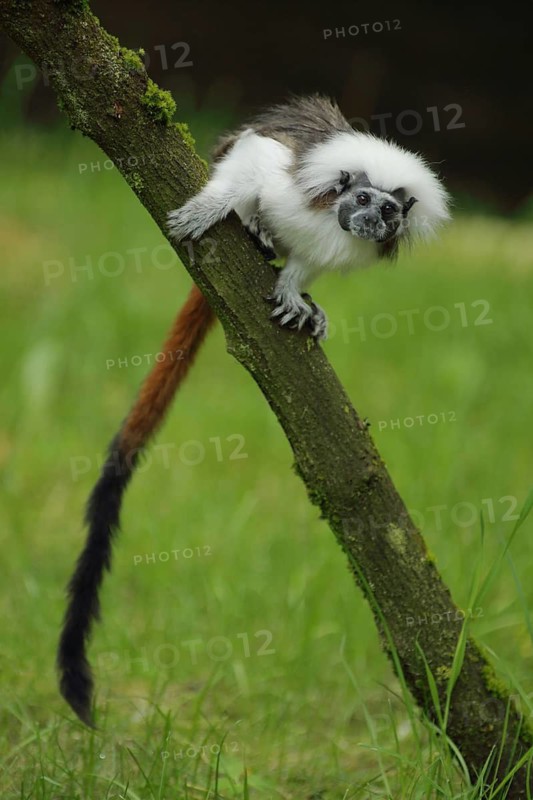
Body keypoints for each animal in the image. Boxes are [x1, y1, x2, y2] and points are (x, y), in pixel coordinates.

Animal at [57, 95, 450, 725]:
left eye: (390, 212)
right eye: (363, 200)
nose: (373, 222)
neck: (331, 218)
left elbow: (310, 262)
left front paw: (295, 287)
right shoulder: (294, 181)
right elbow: (255, 160)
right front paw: (218, 206)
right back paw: (255, 227)